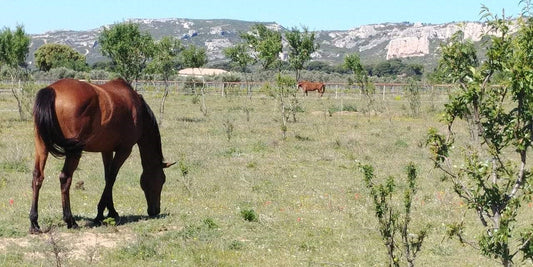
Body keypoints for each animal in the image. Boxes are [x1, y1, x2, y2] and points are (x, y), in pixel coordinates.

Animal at [30, 78, 175, 234]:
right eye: (162, 180)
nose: (155, 211)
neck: (138, 110)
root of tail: (52, 90)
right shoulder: (125, 150)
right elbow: (112, 178)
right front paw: (101, 214)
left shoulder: (106, 150)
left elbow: (107, 178)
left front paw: (110, 211)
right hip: (74, 152)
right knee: (65, 178)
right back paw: (70, 221)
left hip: (41, 147)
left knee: (38, 177)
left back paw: (34, 223)